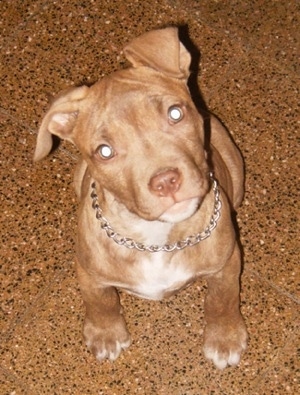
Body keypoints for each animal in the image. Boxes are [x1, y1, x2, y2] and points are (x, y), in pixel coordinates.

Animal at [34, 28, 246, 372]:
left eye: (175, 113)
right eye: (104, 151)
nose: (166, 181)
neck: (156, 238)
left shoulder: (226, 263)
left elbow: (222, 299)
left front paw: (224, 337)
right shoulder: (88, 271)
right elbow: (100, 302)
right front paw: (106, 333)